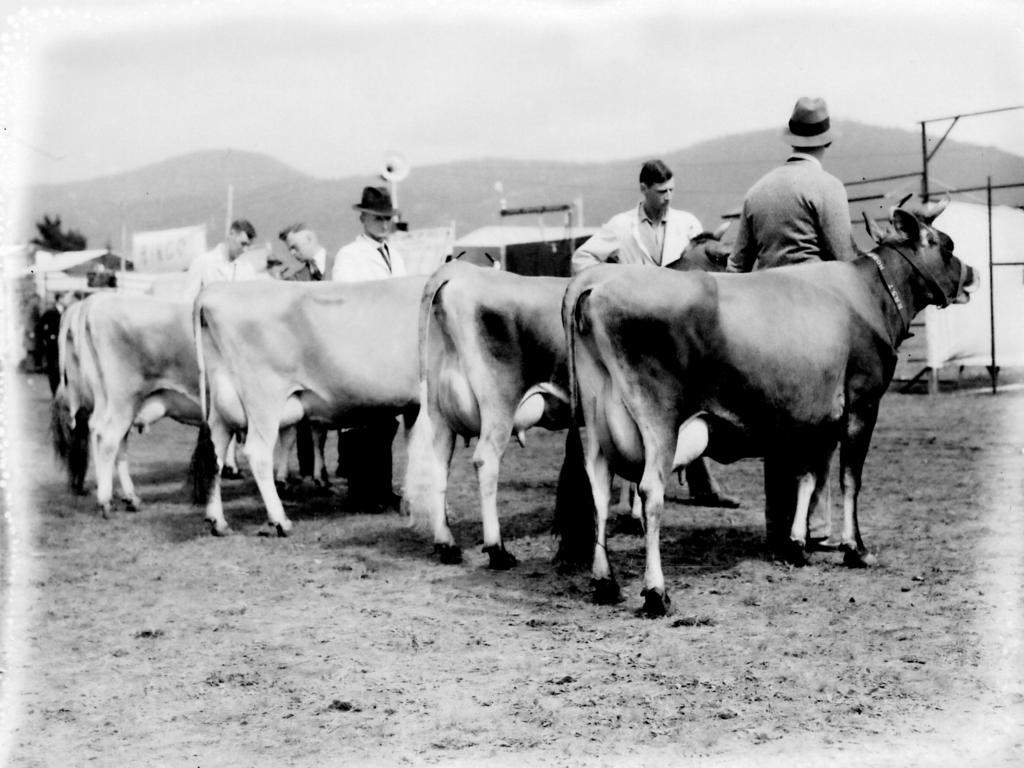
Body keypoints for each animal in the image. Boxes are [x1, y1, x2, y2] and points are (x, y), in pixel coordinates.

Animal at [190, 274, 425, 536]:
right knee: (258, 453)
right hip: (264, 398)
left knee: (216, 454)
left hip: (223, 404)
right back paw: (280, 520)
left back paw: (218, 521)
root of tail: (213, 292)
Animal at [401, 228, 737, 573]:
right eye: (723, 256)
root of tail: (457, 272)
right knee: (486, 461)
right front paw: (633, 517)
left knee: (439, 463)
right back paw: (498, 550)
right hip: (497, 404)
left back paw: (446, 544)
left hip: (438, 411)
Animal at [565, 199, 978, 618]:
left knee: (598, 489)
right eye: (947, 245)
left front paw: (796, 544)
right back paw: (655, 592)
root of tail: (597, 283)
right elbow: (849, 479)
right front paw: (856, 549)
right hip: (659, 420)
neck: (868, 295)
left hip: (596, 423)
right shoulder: (862, 403)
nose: (972, 274)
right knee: (651, 492)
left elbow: (807, 478)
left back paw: (604, 582)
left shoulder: (817, 417)